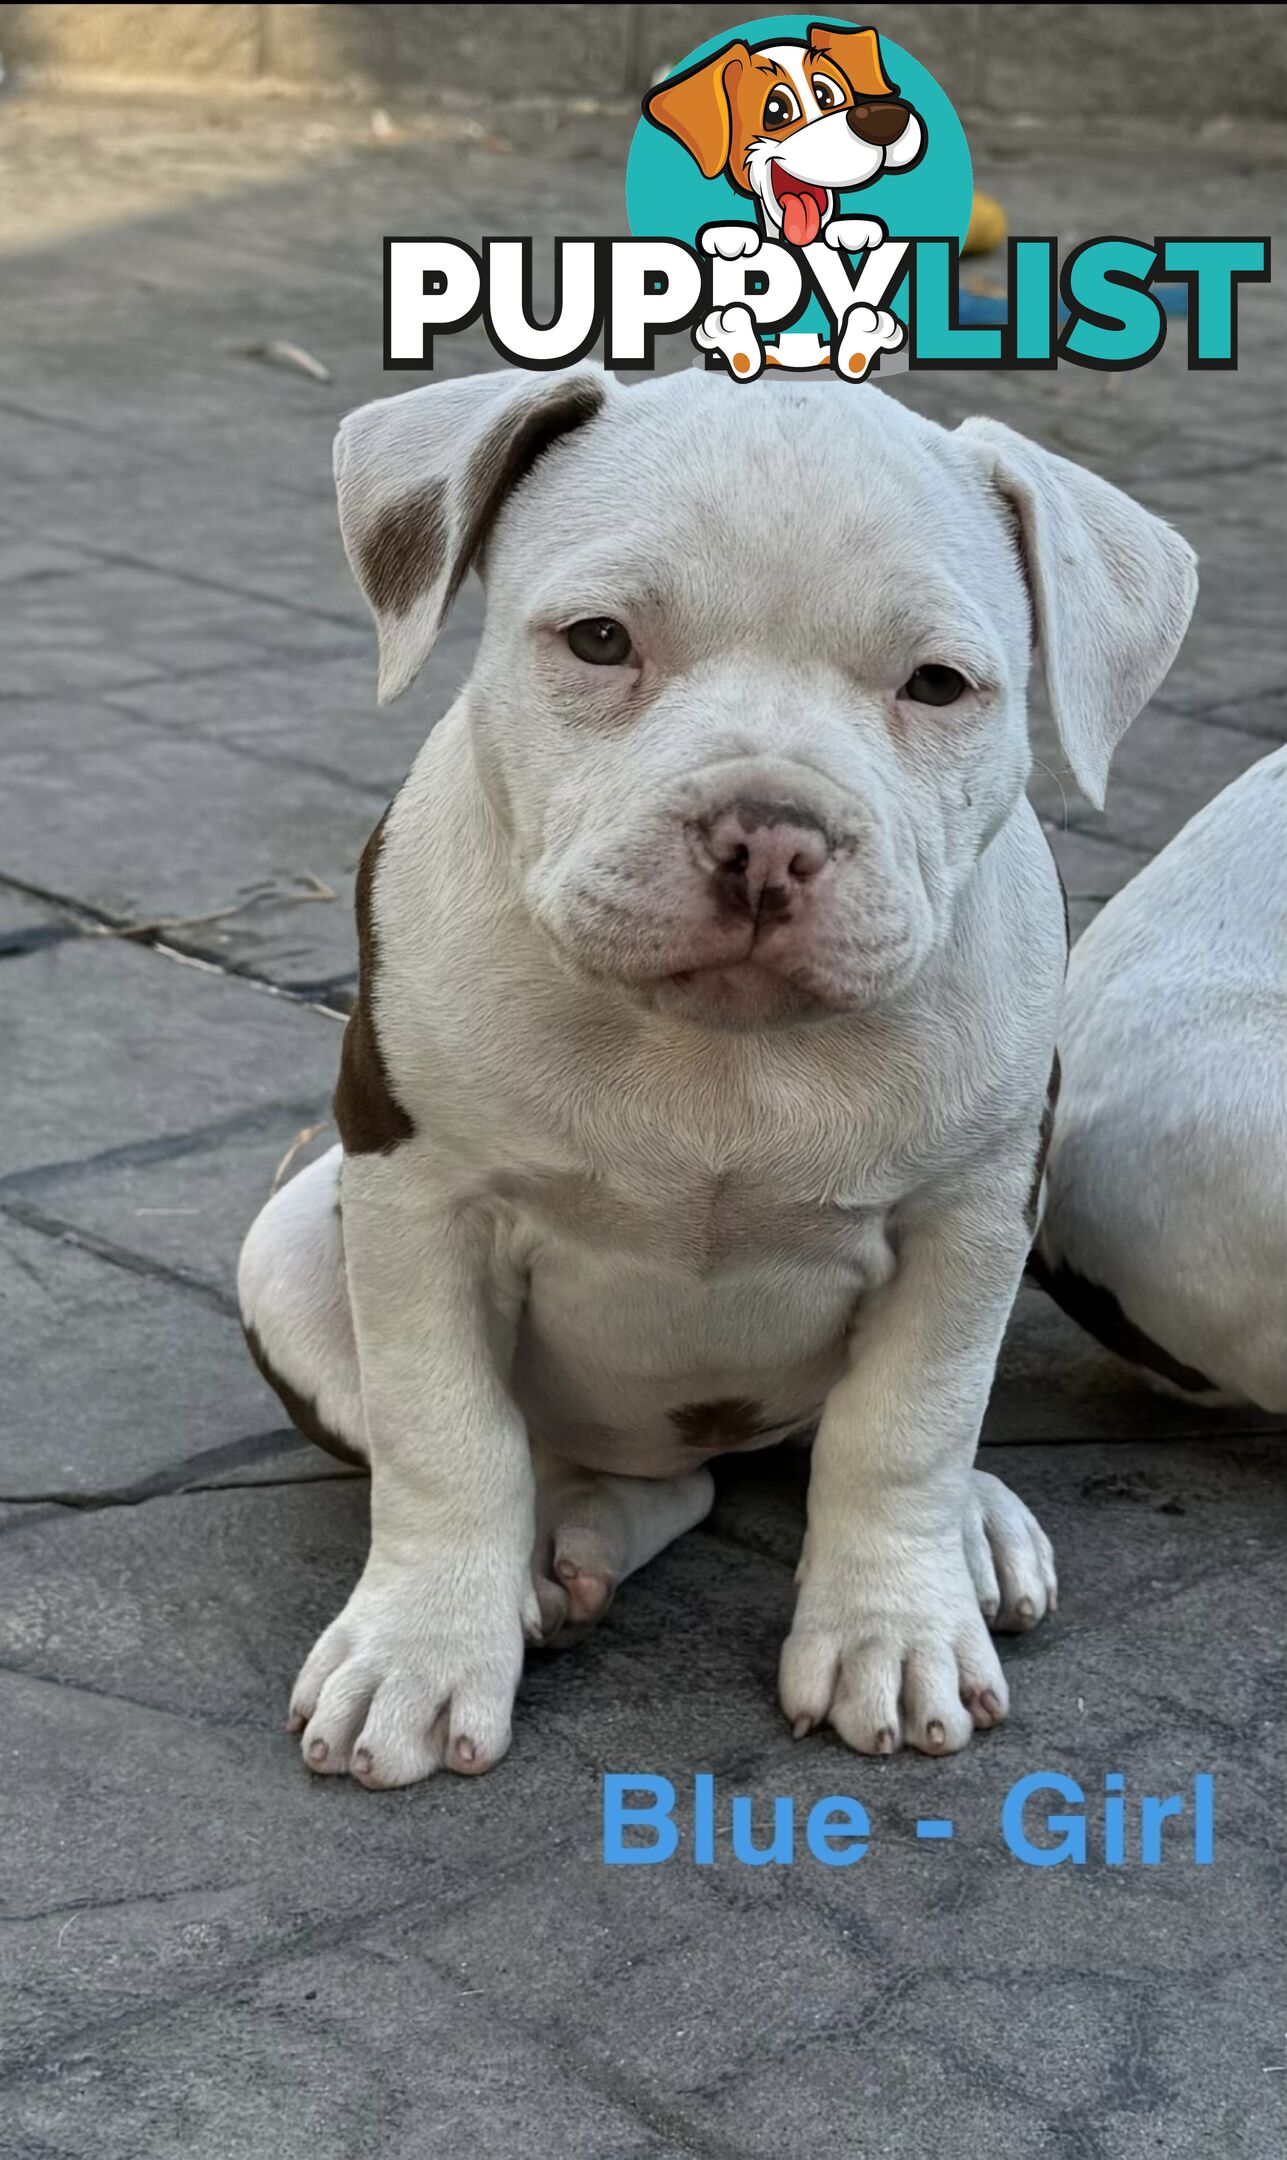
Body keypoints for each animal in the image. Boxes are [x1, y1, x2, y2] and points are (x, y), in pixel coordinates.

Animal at [238, 367, 1200, 1788]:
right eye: (597, 641)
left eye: (939, 684)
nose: (769, 833)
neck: (719, 1057)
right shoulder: (420, 1202)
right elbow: (445, 1434)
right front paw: (419, 1651)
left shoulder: (973, 1213)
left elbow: (906, 1427)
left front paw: (892, 1630)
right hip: (295, 1242)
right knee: (604, 1471)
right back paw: (557, 1550)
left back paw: (967, 1533)